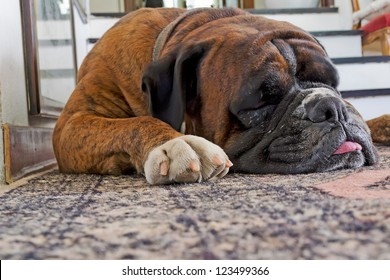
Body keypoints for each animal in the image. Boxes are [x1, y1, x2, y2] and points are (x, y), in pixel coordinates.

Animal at [52, 7, 378, 185]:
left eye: (333, 83)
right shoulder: (72, 125)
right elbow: (135, 123)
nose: (331, 106)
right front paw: (174, 143)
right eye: (261, 100)